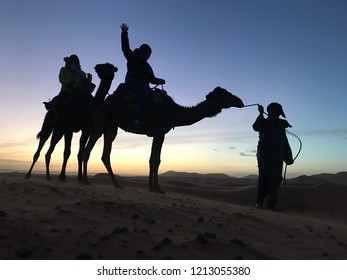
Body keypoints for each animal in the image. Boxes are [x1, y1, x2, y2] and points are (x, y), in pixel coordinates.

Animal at [81, 83, 245, 192]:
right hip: (102, 122)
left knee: (103, 154)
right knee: (89, 150)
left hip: (111, 127)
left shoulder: (158, 133)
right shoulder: (160, 132)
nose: (240, 101)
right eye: (226, 94)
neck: (173, 112)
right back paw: (86, 180)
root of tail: (103, 103)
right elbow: (155, 160)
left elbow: (154, 159)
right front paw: (156, 188)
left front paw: (152, 186)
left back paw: (114, 183)